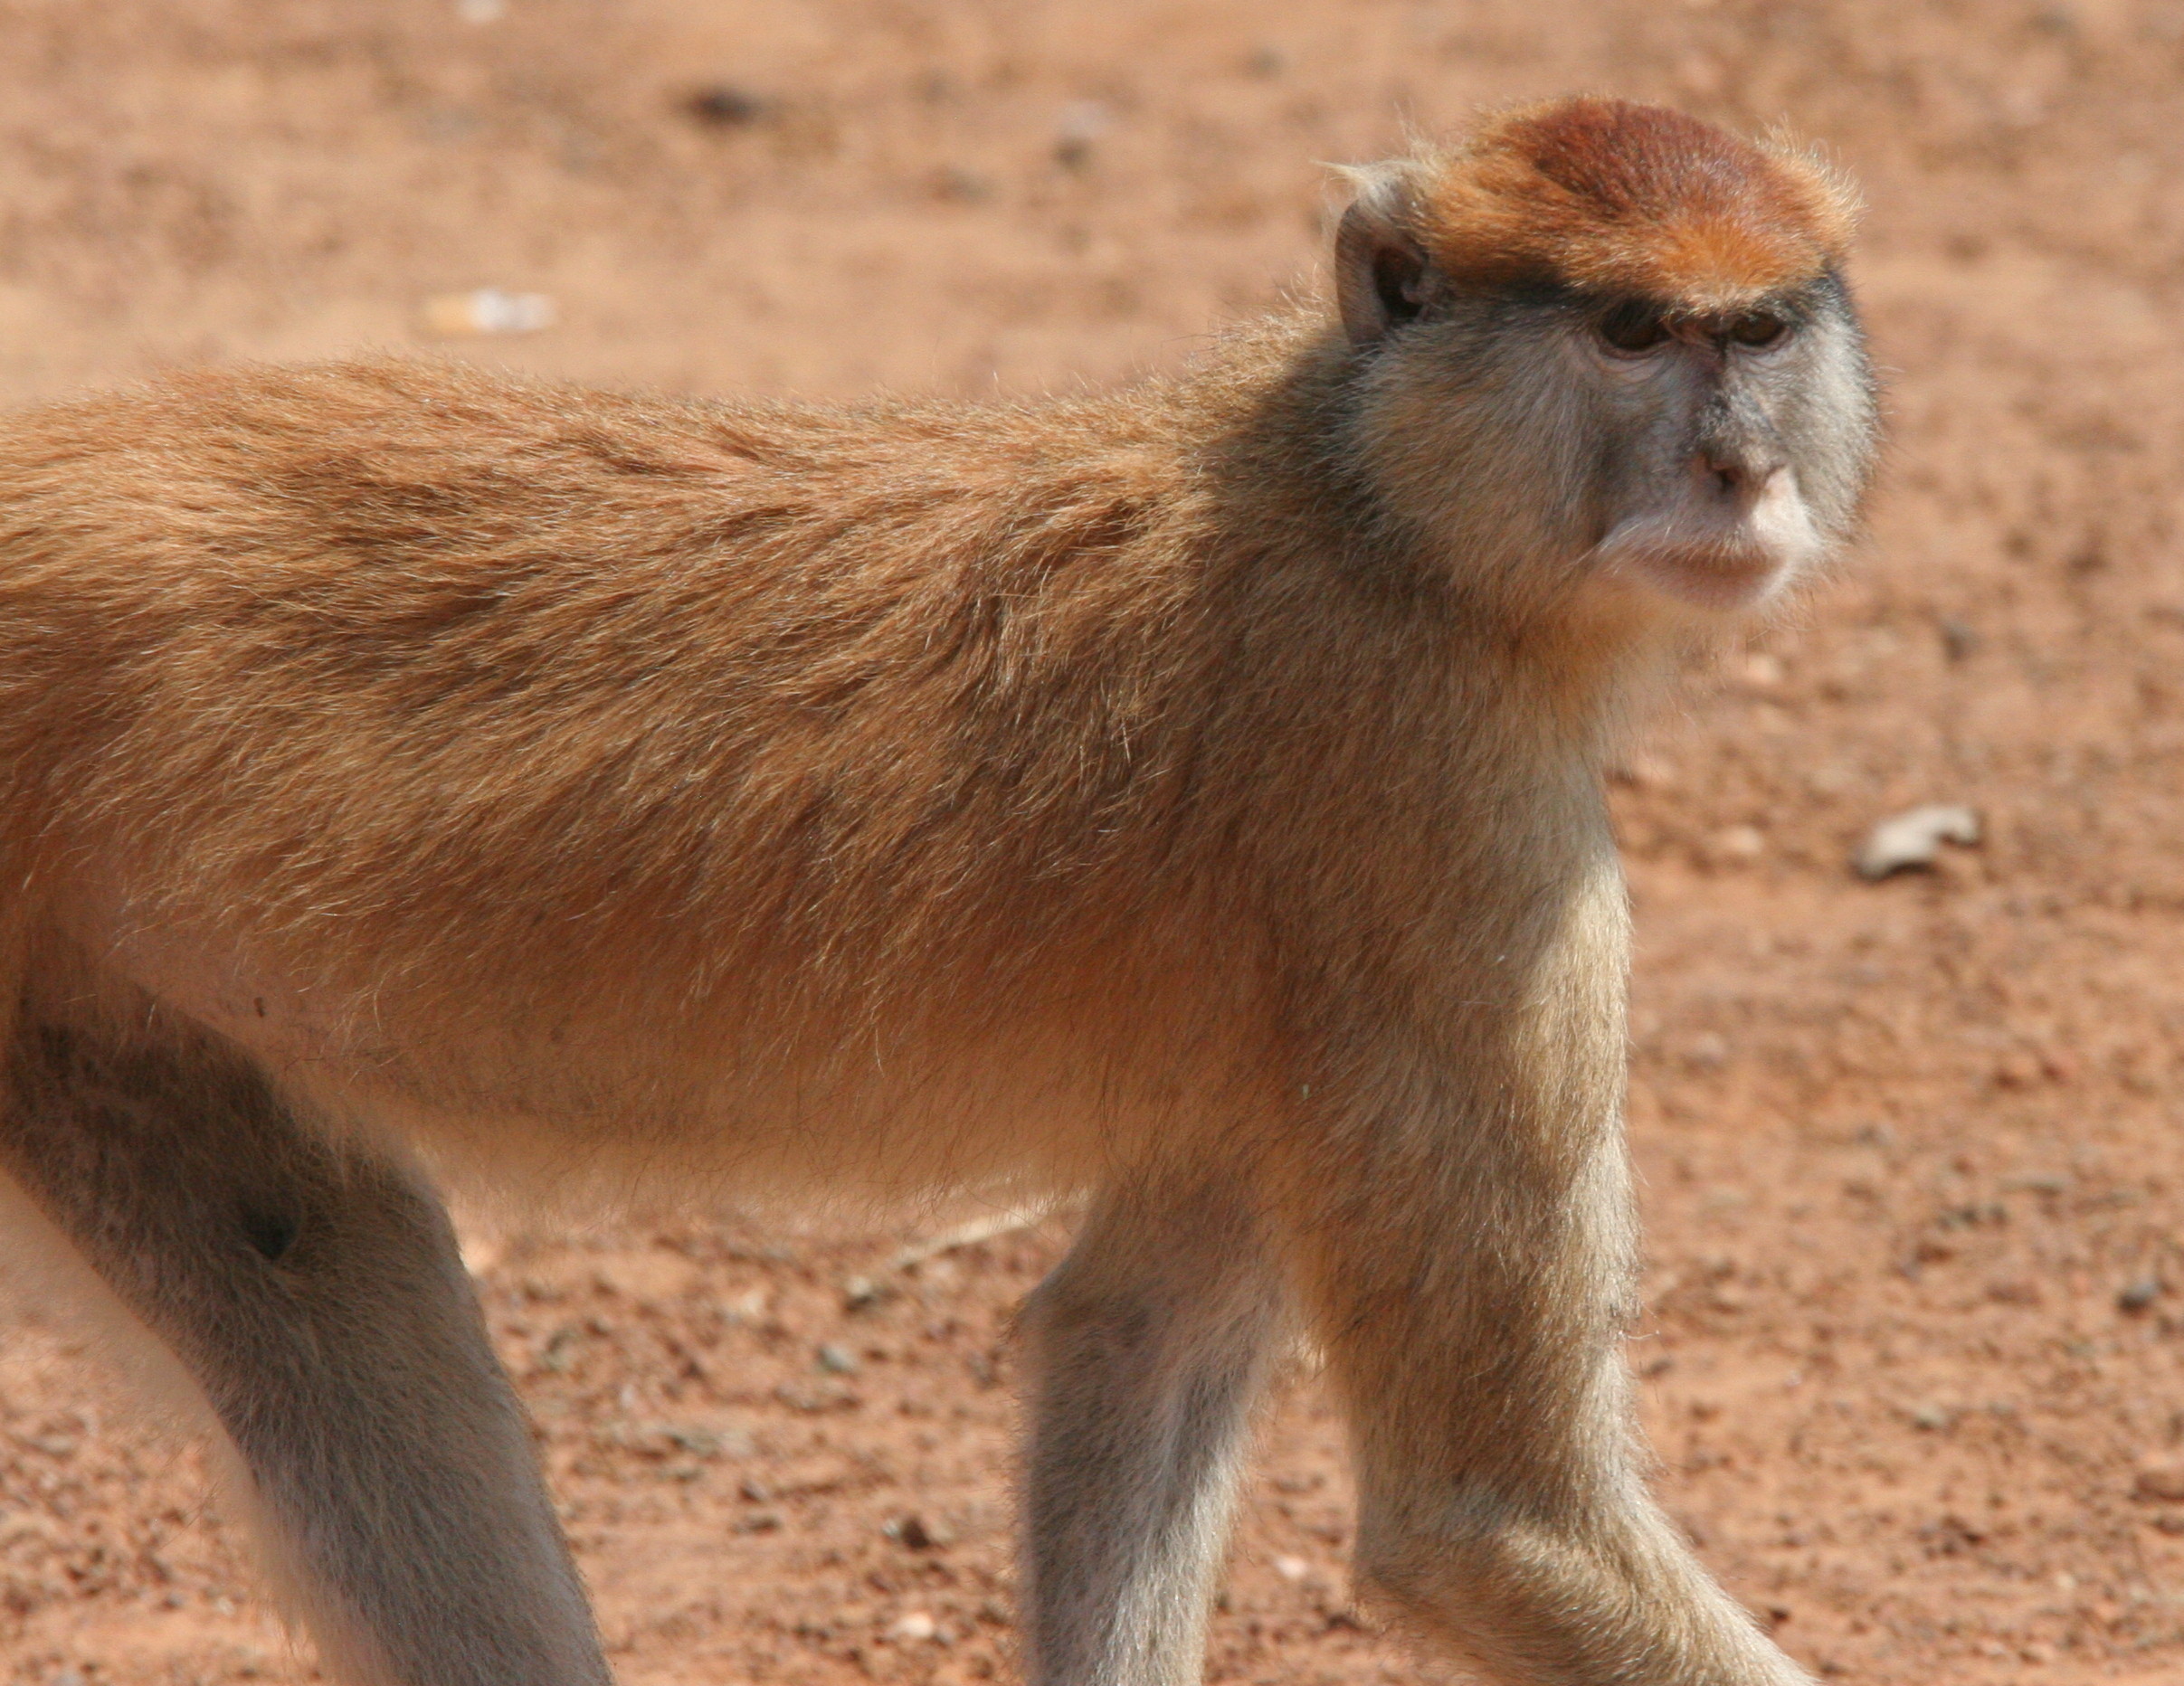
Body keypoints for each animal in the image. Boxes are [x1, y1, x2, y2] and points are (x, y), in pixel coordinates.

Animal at [0, 99, 1878, 1677]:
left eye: (1759, 330)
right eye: (1628, 332)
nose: (1737, 472)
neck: (1372, 507)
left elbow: (1134, 1339)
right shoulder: (1439, 831)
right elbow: (1484, 1518)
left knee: (325, 1288)